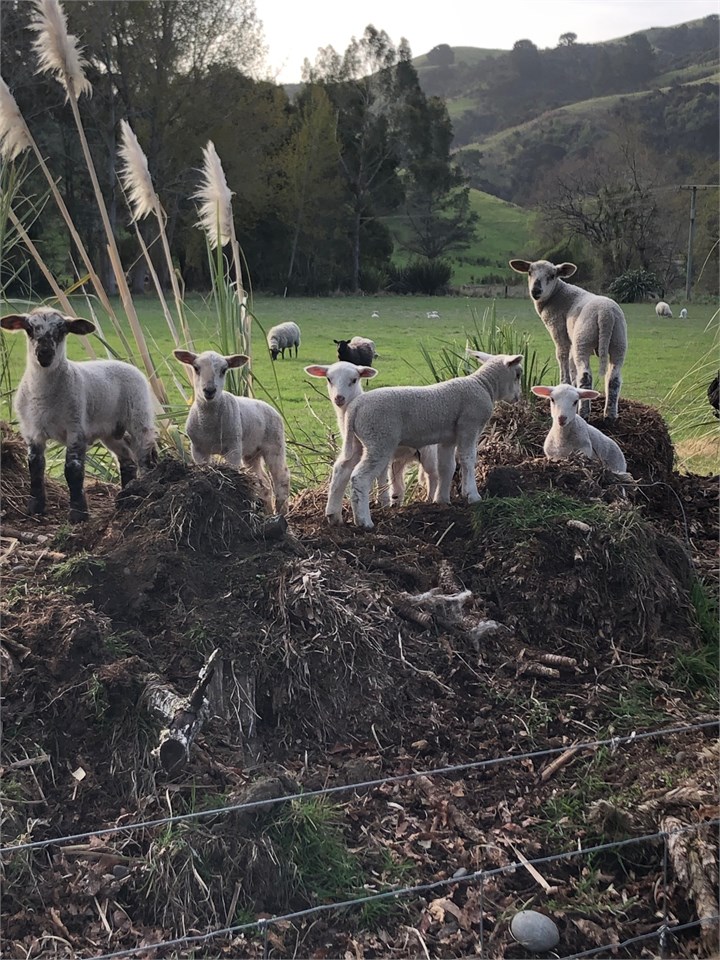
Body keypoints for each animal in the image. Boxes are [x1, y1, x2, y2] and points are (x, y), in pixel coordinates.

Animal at [1, 307, 156, 522]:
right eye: (29, 329)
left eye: (62, 330)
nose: (44, 354)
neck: (44, 397)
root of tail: (125, 364)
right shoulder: (32, 431)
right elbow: (35, 466)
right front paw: (35, 507)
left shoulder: (76, 428)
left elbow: (73, 469)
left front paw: (78, 513)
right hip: (111, 431)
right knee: (127, 460)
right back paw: (126, 498)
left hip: (140, 415)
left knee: (145, 456)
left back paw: (144, 492)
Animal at [173, 349, 290, 514]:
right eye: (196, 368)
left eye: (224, 370)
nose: (209, 391)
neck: (209, 425)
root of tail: (268, 406)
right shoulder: (198, 449)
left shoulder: (233, 448)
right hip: (251, 453)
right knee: (264, 483)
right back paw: (268, 513)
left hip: (275, 444)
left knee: (281, 477)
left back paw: (281, 511)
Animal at [304, 360, 439, 506]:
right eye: (329, 379)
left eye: (354, 380)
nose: (339, 398)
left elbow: (380, 477)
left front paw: (381, 501)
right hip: (400, 459)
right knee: (399, 483)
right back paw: (397, 501)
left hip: (428, 452)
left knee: (432, 475)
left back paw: (430, 499)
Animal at [325, 350, 523, 529]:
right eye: (518, 374)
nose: (518, 397)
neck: (484, 385)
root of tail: (355, 407)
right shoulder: (469, 426)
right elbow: (468, 460)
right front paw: (472, 496)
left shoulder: (448, 439)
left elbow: (446, 467)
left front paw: (442, 500)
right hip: (379, 439)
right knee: (359, 477)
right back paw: (364, 521)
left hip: (358, 441)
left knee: (341, 469)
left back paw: (334, 516)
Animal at [509, 258, 627, 420]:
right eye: (529, 272)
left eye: (552, 275)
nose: (536, 291)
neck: (557, 294)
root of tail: (605, 315)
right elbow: (571, 364)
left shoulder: (558, 329)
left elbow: (562, 356)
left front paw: (564, 385)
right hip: (618, 342)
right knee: (614, 379)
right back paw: (610, 415)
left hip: (583, 340)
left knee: (585, 376)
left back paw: (584, 412)